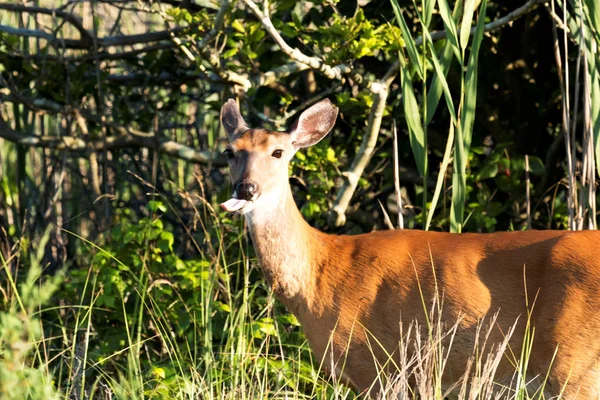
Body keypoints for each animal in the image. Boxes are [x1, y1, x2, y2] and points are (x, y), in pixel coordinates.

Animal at [219, 98, 600, 398]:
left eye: (278, 152)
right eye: (229, 152)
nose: (246, 189)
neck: (318, 275)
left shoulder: (373, 364)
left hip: (574, 361)